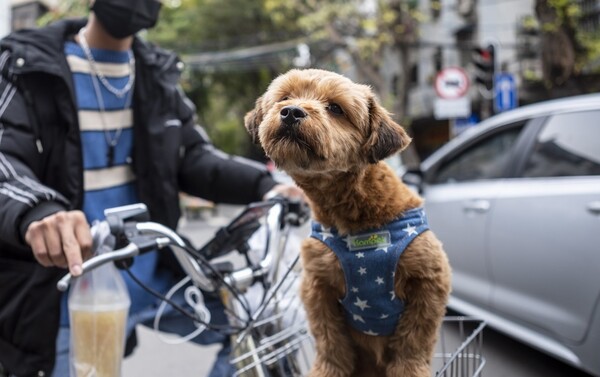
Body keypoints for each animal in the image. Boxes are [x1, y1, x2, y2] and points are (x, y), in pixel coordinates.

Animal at [245, 69, 450, 374]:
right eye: (285, 97)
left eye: (335, 108)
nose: (291, 112)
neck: (356, 216)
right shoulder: (318, 289)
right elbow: (330, 342)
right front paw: (326, 370)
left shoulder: (429, 280)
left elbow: (413, 342)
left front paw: (409, 370)